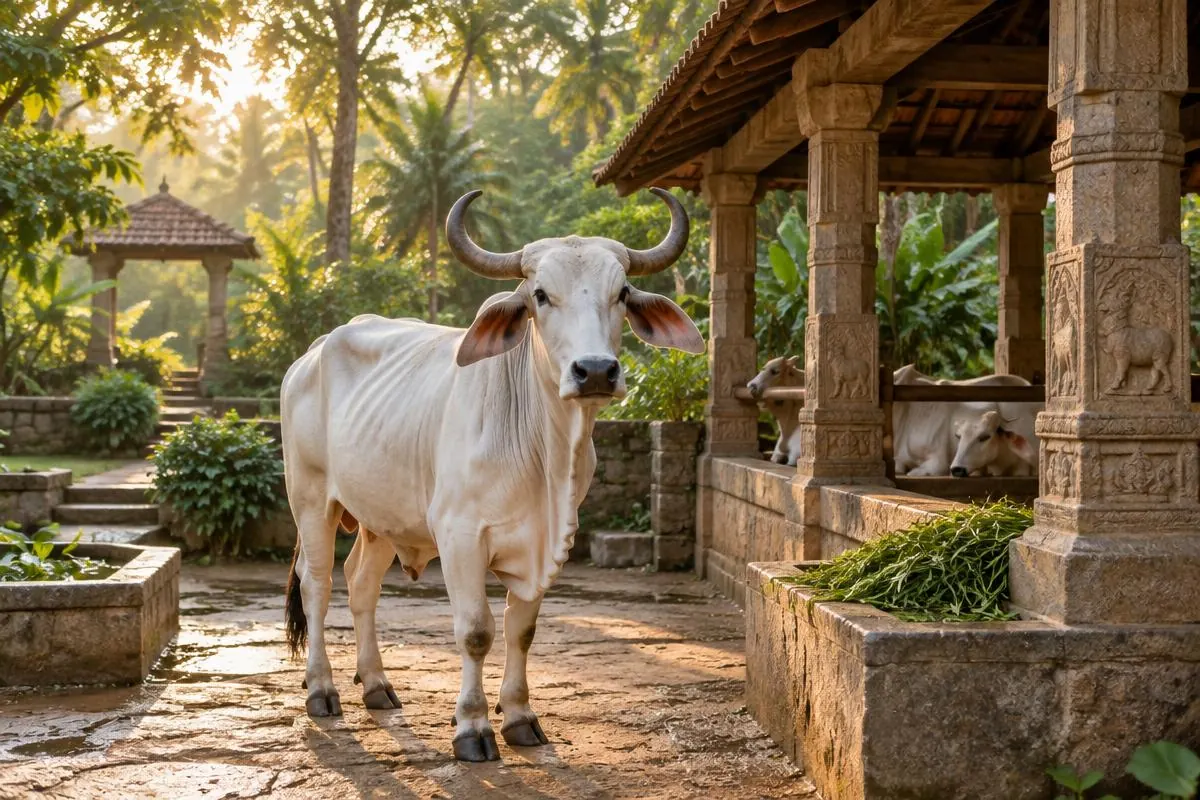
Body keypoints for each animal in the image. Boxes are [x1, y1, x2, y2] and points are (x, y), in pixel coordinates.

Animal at [280, 188, 704, 762]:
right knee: (317, 584)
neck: (543, 453)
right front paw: (472, 727)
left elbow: (521, 631)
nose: (595, 370)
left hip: (382, 515)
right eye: (541, 295)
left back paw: (376, 685)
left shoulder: (548, 543)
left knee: (361, 584)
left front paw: (521, 717)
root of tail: (313, 350)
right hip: (310, 499)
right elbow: (477, 631)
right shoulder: (459, 537)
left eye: (622, 293)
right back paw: (321, 689)